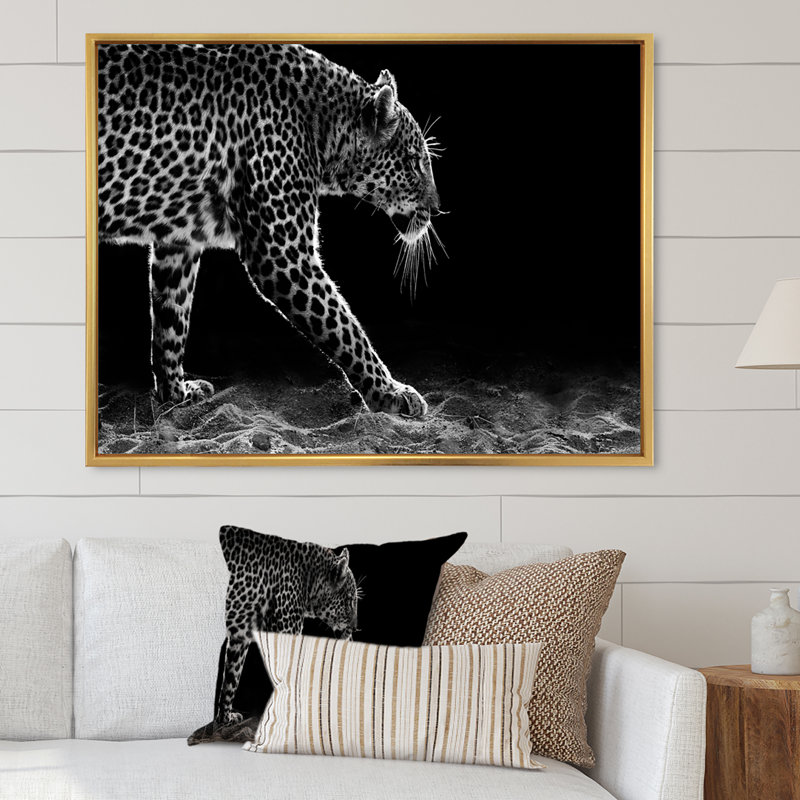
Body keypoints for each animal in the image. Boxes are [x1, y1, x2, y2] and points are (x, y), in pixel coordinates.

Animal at [97, 42, 443, 419]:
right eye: (415, 162)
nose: (436, 209)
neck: (325, 127)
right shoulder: (283, 254)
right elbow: (343, 327)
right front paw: (389, 392)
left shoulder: (178, 241)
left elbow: (171, 319)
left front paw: (176, 394)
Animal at [189, 525, 359, 744]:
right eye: (350, 600)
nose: (355, 627)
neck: (310, 579)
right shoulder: (288, 631)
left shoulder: (239, 636)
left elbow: (231, 678)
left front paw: (225, 718)